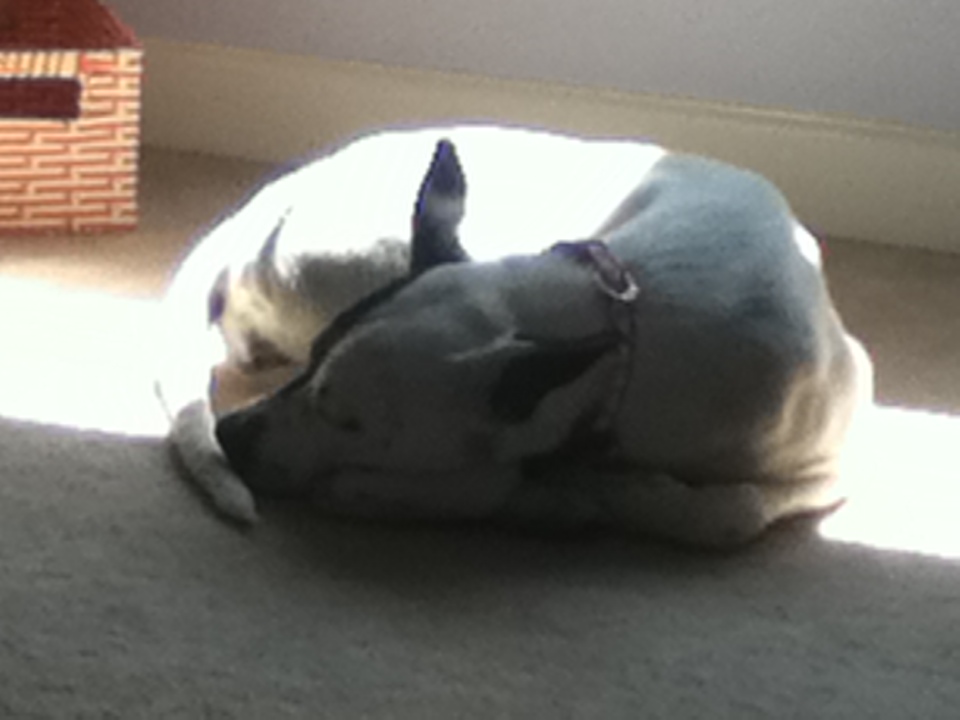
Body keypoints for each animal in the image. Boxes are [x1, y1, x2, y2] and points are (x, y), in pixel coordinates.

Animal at [213, 133, 874, 548]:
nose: (231, 435)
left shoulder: (833, 453)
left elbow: (729, 514)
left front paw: (626, 491)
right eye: (315, 359)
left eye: (348, 421)